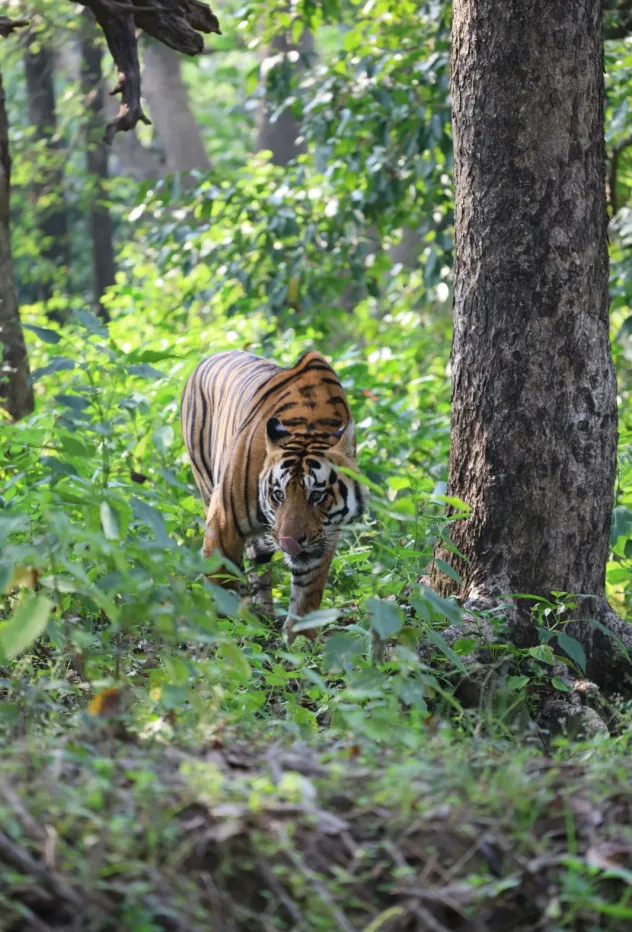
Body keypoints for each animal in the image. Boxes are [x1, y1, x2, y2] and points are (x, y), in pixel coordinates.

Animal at [181, 349, 368, 639]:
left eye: (317, 496)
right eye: (278, 495)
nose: (289, 540)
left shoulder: (326, 536)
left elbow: (308, 592)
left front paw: (301, 639)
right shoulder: (222, 522)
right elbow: (221, 582)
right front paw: (223, 634)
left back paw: (264, 614)